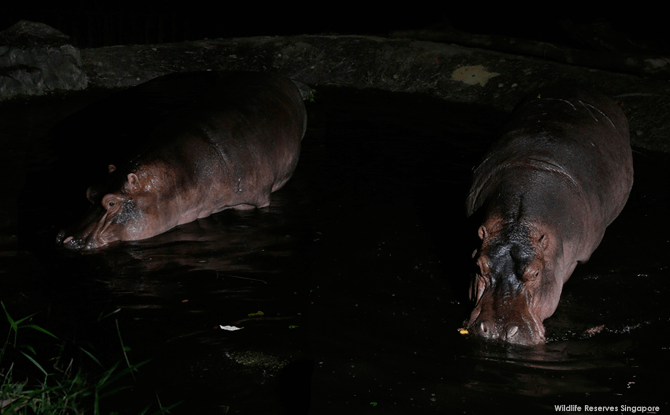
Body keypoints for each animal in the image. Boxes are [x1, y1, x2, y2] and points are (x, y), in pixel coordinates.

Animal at [56, 72, 308, 252]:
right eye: (89, 191)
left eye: (110, 202)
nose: (66, 238)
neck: (181, 174)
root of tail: (281, 78)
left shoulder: (254, 199)